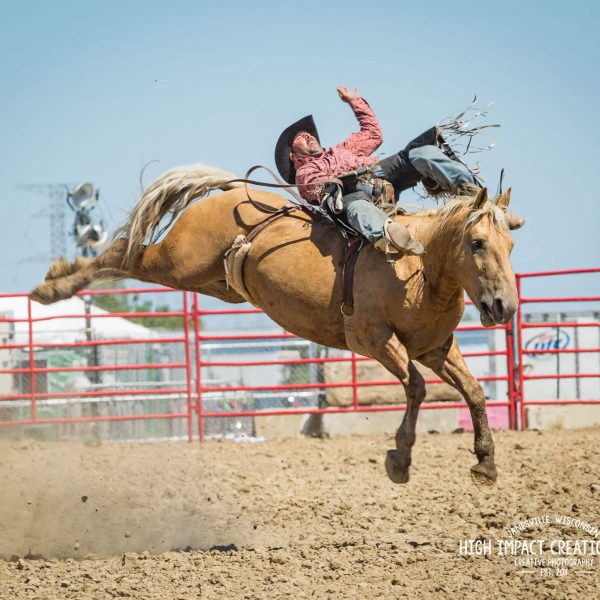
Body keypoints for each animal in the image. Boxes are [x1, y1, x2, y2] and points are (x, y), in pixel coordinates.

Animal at [30, 162, 516, 486]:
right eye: (477, 243)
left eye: (511, 243)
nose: (503, 307)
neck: (418, 267)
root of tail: (232, 188)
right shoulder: (375, 339)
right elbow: (415, 388)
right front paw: (399, 459)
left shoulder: (435, 348)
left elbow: (473, 391)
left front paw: (486, 462)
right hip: (177, 261)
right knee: (122, 254)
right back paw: (53, 285)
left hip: (211, 281)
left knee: (128, 257)